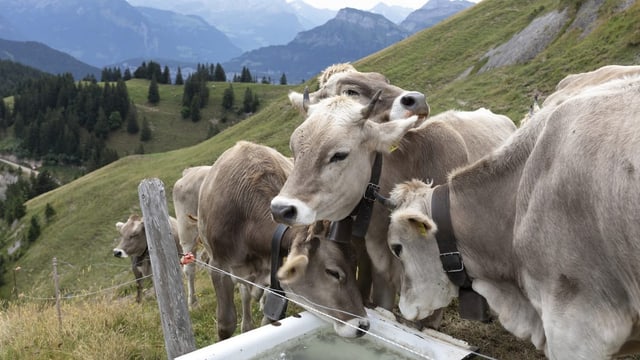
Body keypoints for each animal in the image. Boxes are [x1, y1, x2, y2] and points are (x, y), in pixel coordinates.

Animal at [199, 141, 370, 340]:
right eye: (333, 272)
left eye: (355, 264)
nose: (363, 325)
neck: (245, 220)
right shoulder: (218, 267)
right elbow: (226, 324)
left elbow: (269, 320)